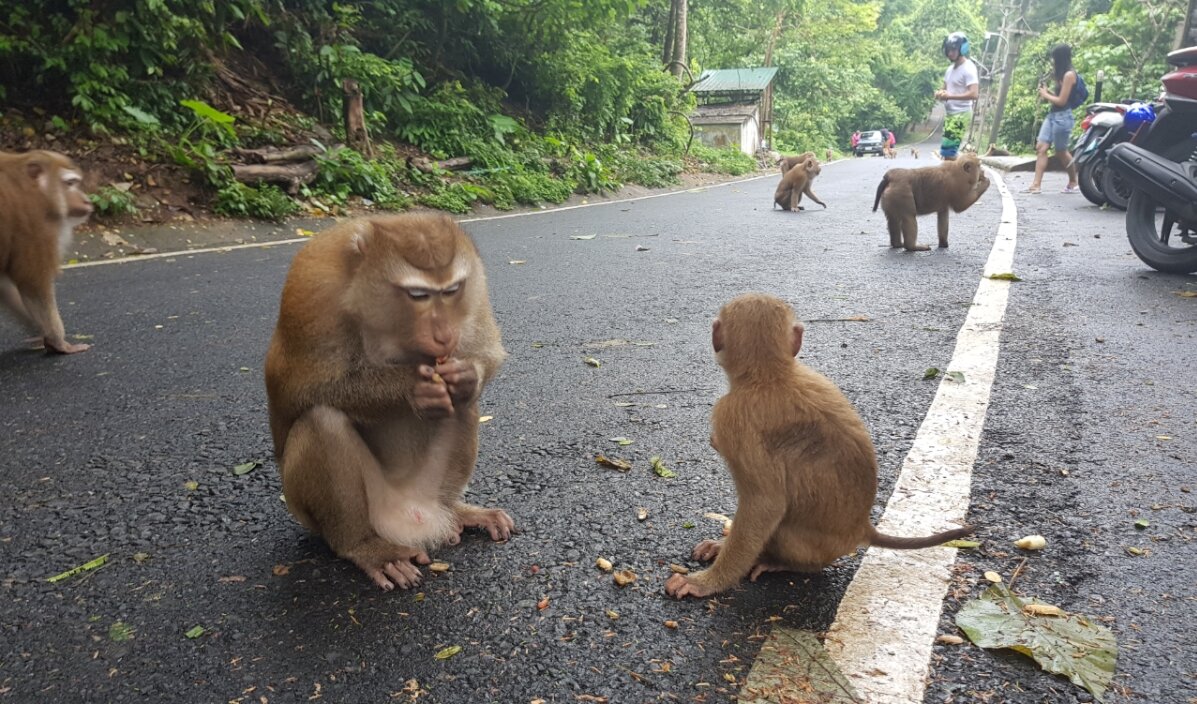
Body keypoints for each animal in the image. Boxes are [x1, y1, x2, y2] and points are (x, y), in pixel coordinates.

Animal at [0, 149, 93, 354]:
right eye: (70, 183)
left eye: (76, 182)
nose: (86, 200)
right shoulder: (35, 227)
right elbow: (34, 284)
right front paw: (57, 342)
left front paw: (37, 330)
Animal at [264, 213, 512, 591]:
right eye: (418, 295)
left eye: (451, 291)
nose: (444, 335)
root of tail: (416, 519)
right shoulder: (311, 290)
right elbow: (296, 390)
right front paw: (413, 388)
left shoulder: (475, 280)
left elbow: (486, 351)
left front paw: (466, 375)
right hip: (348, 512)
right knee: (321, 421)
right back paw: (365, 547)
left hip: (427, 489)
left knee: (464, 404)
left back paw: (458, 510)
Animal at [664, 294, 972, 599]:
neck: (770, 375)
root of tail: (863, 528)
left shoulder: (730, 417)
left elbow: (765, 504)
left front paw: (706, 582)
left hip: (812, 548)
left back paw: (776, 561)